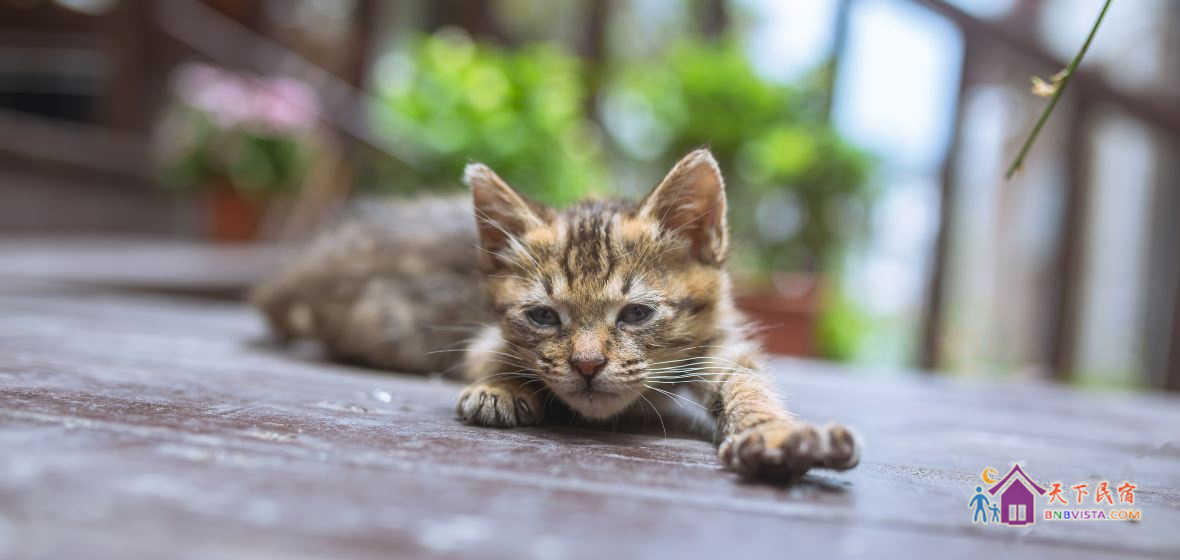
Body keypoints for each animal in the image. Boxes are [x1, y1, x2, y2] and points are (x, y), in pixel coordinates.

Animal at [253, 149, 860, 480]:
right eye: (544, 317)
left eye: (636, 314)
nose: (588, 366)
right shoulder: (483, 335)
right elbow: (490, 354)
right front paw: (499, 388)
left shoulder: (721, 344)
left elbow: (748, 384)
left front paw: (776, 435)